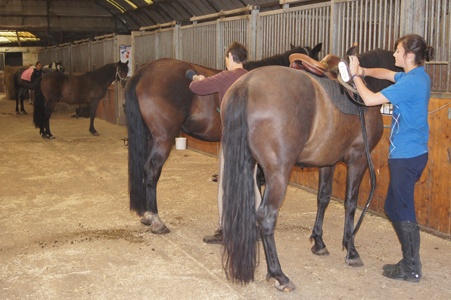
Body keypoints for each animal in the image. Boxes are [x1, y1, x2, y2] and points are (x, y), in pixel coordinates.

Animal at [123, 44, 322, 234]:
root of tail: (143, 71)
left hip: (150, 137)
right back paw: (156, 220)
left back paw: (147, 216)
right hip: (163, 138)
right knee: (151, 170)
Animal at [221, 48, 400, 290]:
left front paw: (319, 242)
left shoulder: (327, 162)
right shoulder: (359, 159)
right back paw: (279, 274)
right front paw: (351, 250)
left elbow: (323, 198)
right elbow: (351, 203)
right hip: (278, 174)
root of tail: (246, 85)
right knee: (266, 217)